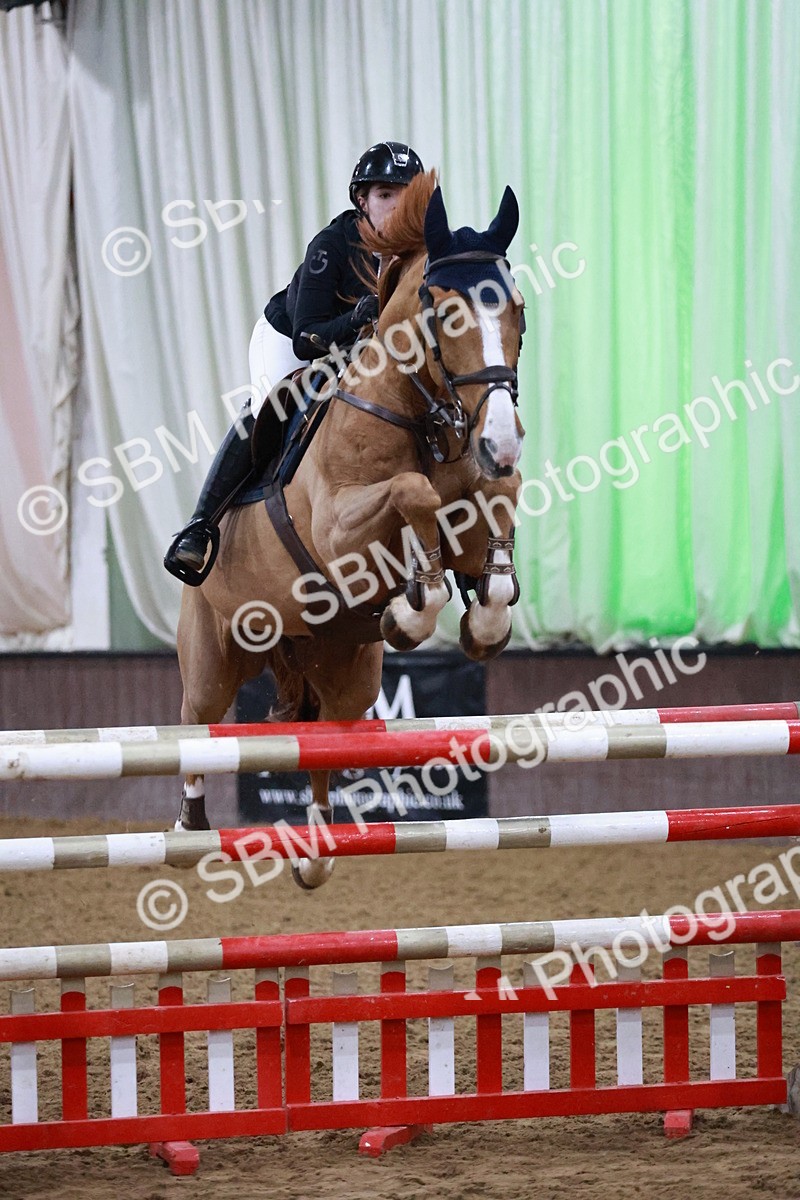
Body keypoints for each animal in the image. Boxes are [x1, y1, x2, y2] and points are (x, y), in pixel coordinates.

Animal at [175, 171, 526, 887]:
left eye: (519, 310)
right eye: (447, 315)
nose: (503, 440)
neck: (417, 412)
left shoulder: (481, 492)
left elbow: (494, 508)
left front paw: (481, 618)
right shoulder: (340, 532)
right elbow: (413, 493)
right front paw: (416, 605)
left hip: (345, 671)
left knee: (322, 739)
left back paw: (314, 847)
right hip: (213, 654)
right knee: (195, 720)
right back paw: (191, 820)